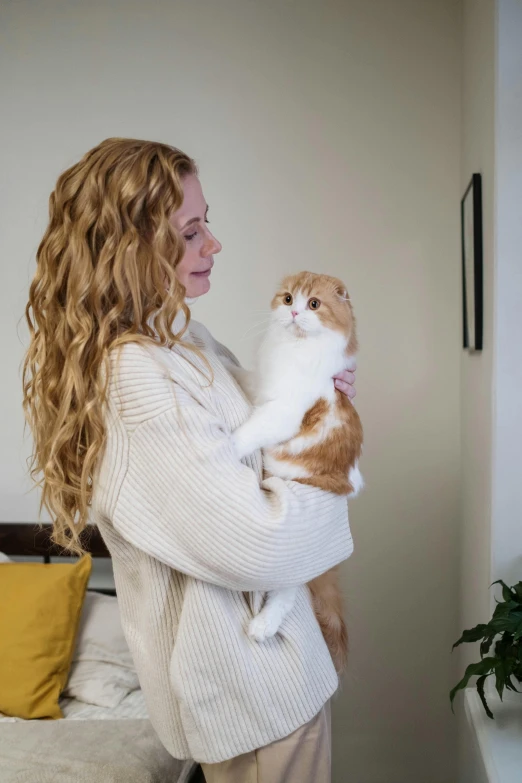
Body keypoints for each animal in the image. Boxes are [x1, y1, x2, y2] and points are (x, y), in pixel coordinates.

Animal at [228, 272, 362, 672]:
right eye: (288, 299)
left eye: (314, 304)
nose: (294, 312)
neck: (291, 350)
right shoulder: (261, 385)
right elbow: (243, 375)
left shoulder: (282, 412)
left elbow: (247, 433)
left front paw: (226, 445)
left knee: (287, 590)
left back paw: (264, 625)